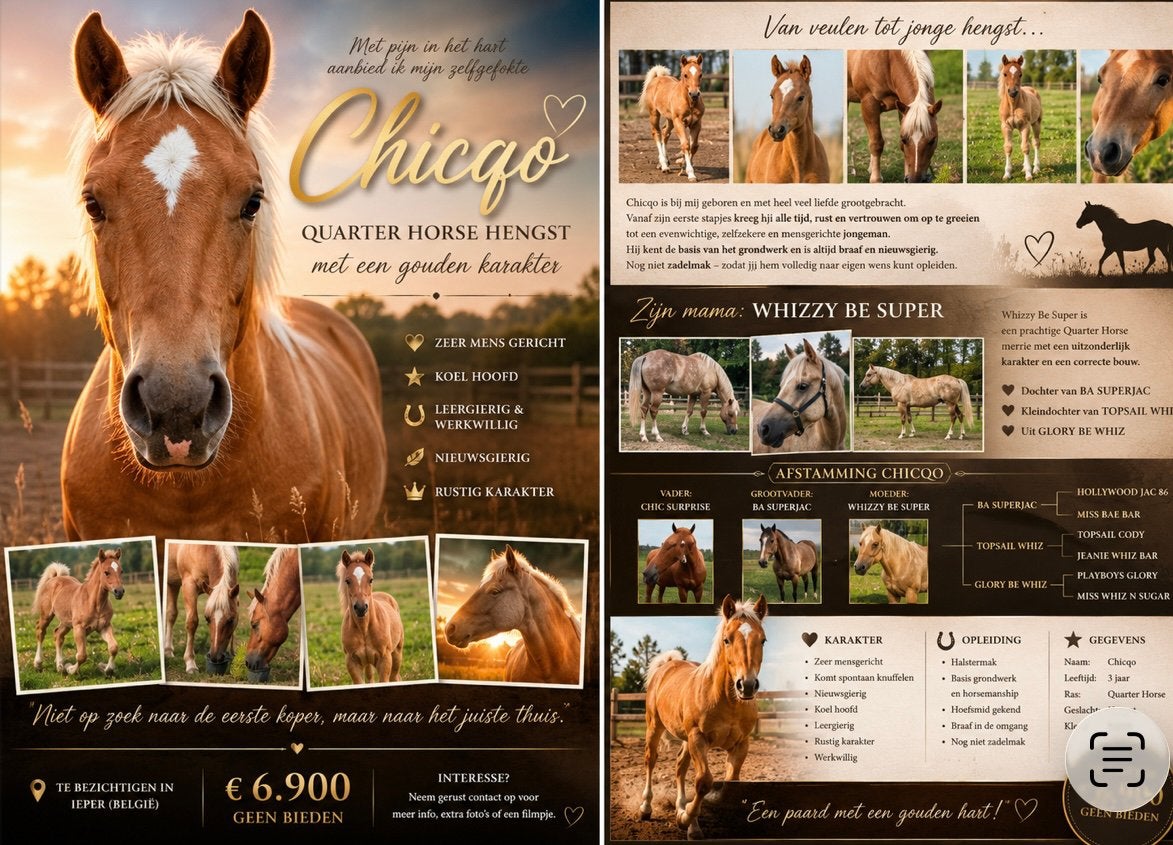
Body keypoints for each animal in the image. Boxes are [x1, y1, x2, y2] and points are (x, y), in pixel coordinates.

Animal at [166, 543, 239, 674]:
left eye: (231, 620)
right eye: (207, 618)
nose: (215, 657)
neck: (204, 549)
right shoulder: (189, 586)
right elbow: (192, 622)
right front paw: (190, 664)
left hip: (172, 583)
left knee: (171, 614)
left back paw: (168, 650)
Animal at [337, 548, 403, 684]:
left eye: (371, 579)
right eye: (347, 580)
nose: (361, 608)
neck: (364, 629)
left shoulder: (385, 660)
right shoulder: (352, 663)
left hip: (397, 653)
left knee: (395, 677)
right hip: (367, 663)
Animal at [639, 594, 769, 839]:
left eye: (763, 640)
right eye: (727, 640)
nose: (747, 685)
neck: (727, 701)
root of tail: (667, 665)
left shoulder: (741, 744)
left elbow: (729, 784)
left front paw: (692, 813)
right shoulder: (698, 739)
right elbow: (703, 781)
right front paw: (685, 818)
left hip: (684, 739)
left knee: (679, 766)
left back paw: (682, 809)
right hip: (655, 726)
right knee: (651, 760)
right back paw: (646, 808)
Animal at [847, 50, 942, 182]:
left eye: (933, 140)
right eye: (904, 138)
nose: (915, 179)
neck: (889, 59)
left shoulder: (902, 106)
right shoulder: (868, 102)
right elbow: (876, 142)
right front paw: (876, 179)